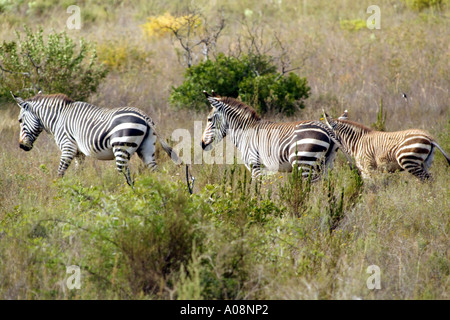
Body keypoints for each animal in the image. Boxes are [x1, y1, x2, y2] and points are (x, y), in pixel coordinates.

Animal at [11, 91, 179, 186]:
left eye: (20, 120)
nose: (22, 146)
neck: (58, 118)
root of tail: (145, 116)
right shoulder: (78, 152)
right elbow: (78, 171)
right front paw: (78, 188)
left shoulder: (67, 146)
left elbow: (60, 171)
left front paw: (56, 190)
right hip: (147, 148)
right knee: (154, 171)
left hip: (121, 147)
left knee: (125, 175)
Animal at [200, 91, 352, 181]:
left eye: (209, 119)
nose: (202, 144)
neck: (245, 132)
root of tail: (327, 129)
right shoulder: (266, 170)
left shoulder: (256, 167)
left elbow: (257, 194)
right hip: (326, 164)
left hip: (304, 163)